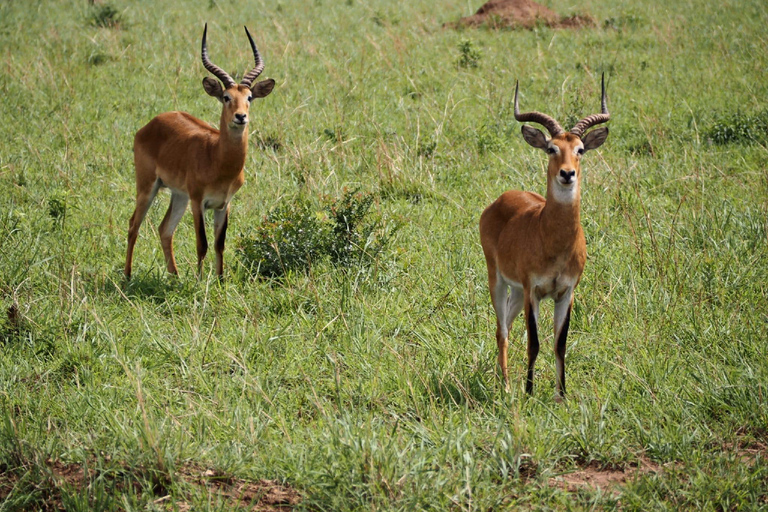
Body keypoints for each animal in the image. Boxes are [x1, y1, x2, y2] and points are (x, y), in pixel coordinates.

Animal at [127, 23, 278, 280]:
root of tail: (152, 122)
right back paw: (127, 276)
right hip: (148, 187)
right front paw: (198, 281)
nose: (240, 116)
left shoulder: (223, 204)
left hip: (179, 195)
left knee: (165, 229)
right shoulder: (198, 202)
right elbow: (202, 243)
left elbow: (219, 244)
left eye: (249, 97)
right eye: (226, 97)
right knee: (133, 225)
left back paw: (175, 277)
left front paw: (219, 280)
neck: (218, 159)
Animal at [480, 74, 612, 398]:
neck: (554, 242)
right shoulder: (535, 291)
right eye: (551, 148)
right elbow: (535, 343)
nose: (567, 174)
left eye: (580, 149)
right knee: (501, 330)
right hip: (498, 281)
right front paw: (529, 392)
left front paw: (561, 395)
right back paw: (506, 385)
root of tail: (501, 199)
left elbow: (559, 344)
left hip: (516, 292)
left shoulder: (566, 293)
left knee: (507, 325)